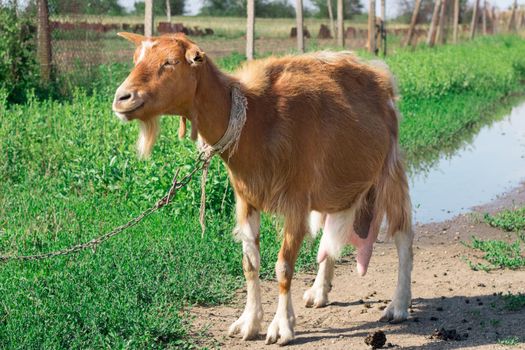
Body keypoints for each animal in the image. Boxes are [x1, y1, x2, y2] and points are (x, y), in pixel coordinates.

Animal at [111, 32, 414, 344]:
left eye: (170, 62)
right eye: (136, 59)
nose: (122, 98)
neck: (256, 119)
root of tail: (379, 74)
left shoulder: (296, 201)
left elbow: (283, 266)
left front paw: (281, 327)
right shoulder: (246, 200)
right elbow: (250, 264)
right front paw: (248, 322)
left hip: (389, 171)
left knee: (404, 236)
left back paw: (398, 306)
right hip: (336, 183)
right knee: (330, 235)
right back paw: (319, 292)